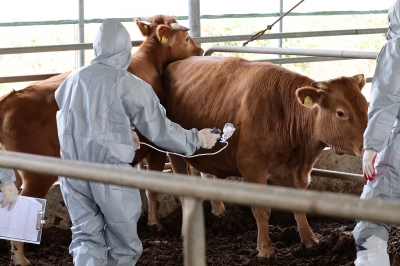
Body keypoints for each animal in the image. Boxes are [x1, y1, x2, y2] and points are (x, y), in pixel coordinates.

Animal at [161, 56, 368, 264]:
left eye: (366, 106)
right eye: (341, 113)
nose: (368, 144)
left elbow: (299, 206)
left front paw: (310, 240)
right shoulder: (252, 168)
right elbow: (262, 210)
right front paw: (265, 250)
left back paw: (220, 214)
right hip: (174, 152)